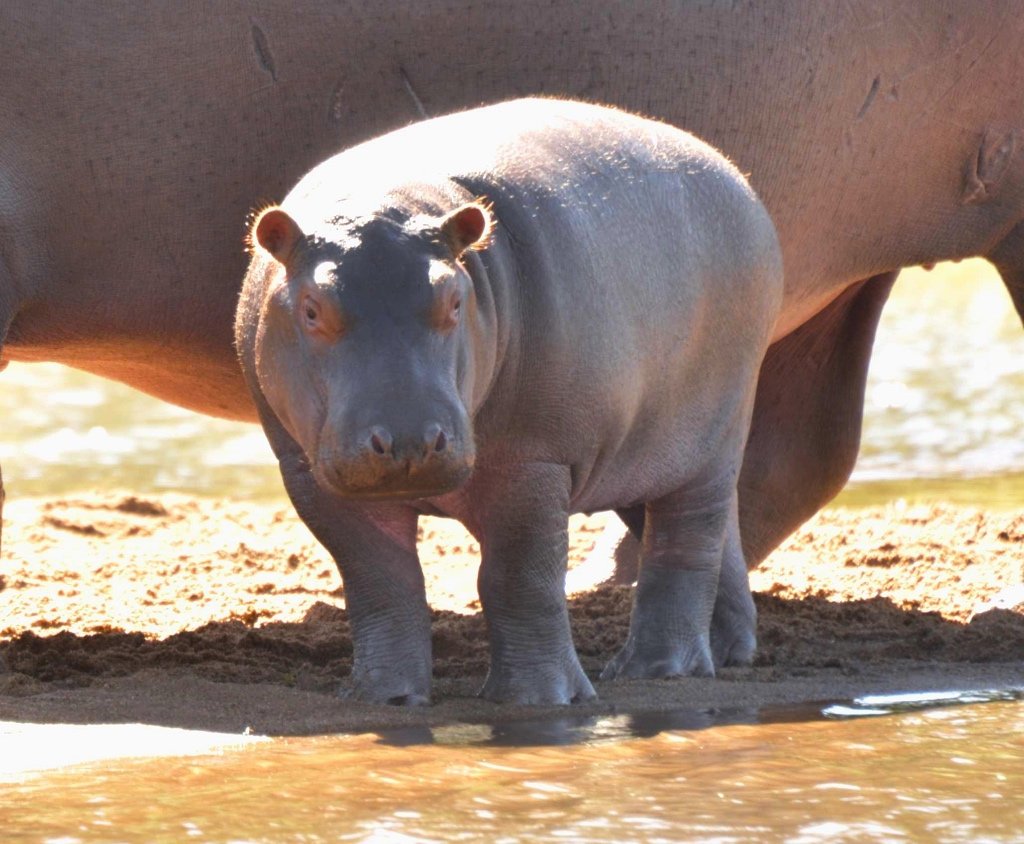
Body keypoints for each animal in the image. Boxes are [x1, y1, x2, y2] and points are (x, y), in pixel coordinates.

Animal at [235, 98, 783, 704]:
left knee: (687, 540)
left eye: (454, 299)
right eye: (311, 308)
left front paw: (541, 699)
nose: (409, 440)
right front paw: (384, 697)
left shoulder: (534, 458)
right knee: (711, 537)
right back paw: (727, 653)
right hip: (647, 446)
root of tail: (733, 175)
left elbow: (519, 576)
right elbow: (380, 579)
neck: (386, 199)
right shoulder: (306, 473)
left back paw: (655, 669)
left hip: (716, 430)